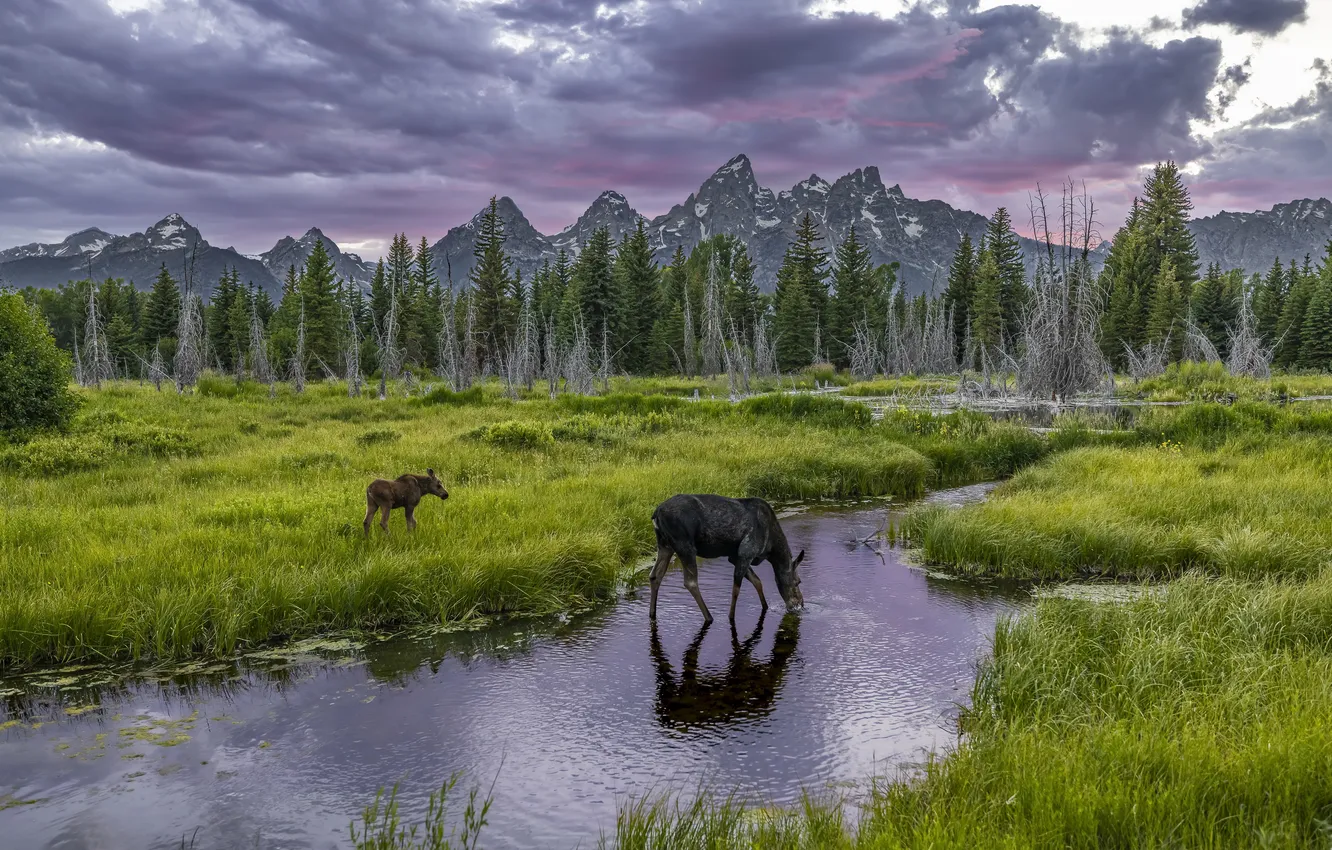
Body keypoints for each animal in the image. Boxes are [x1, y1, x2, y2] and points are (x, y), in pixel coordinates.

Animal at [649, 493, 805, 625]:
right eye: (798, 581)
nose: (800, 604)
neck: (771, 550)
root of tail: (656, 513)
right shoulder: (746, 552)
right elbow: (737, 589)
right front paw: (731, 617)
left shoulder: (735, 556)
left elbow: (757, 581)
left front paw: (765, 606)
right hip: (685, 545)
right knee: (690, 582)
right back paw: (709, 617)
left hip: (664, 545)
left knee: (655, 575)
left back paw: (652, 614)